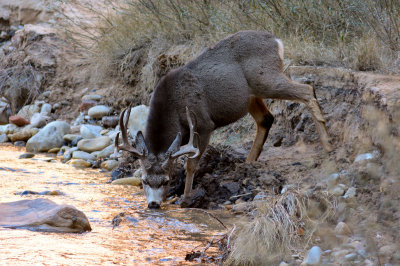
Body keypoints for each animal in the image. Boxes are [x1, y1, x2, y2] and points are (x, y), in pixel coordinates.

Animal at [115, 31, 332, 209]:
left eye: (166, 181)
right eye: (144, 180)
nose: (153, 204)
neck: (172, 105)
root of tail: (276, 41)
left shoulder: (203, 124)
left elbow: (190, 164)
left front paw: (185, 198)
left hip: (265, 79)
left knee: (307, 89)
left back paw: (328, 145)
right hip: (250, 96)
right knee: (266, 118)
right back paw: (248, 163)